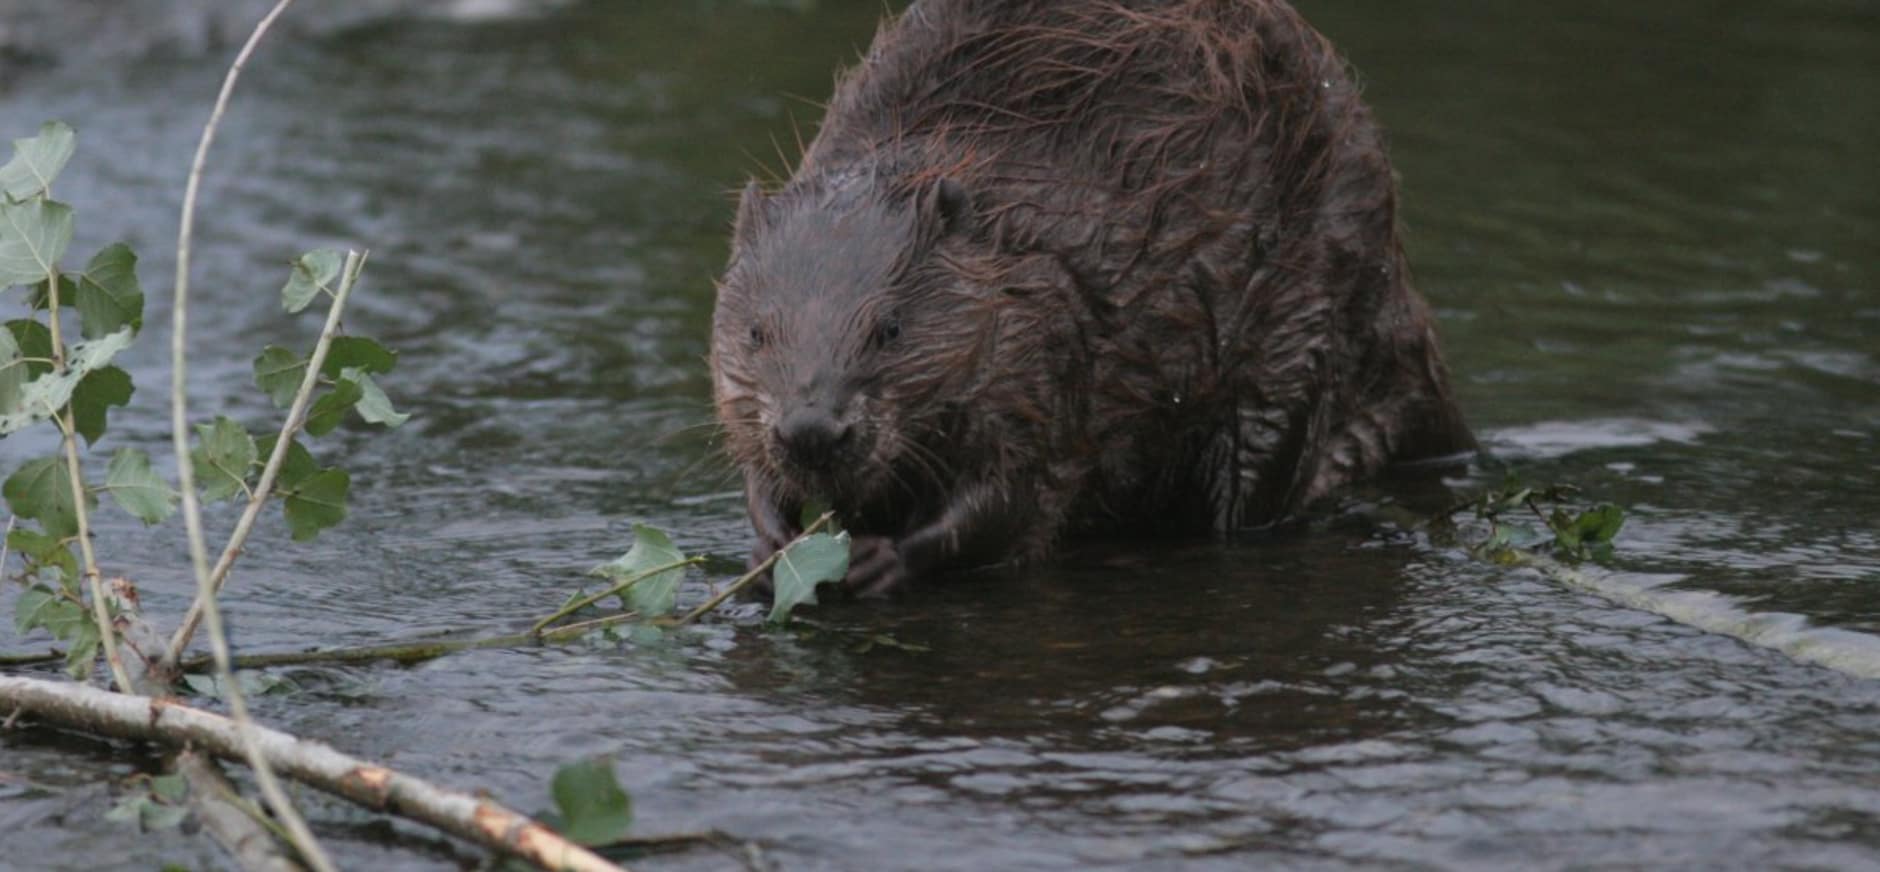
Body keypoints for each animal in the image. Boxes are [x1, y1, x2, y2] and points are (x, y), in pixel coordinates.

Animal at [710, 0, 1473, 593]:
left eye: (890, 329)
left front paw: (880, 559)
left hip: (1307, 317)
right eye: (756, 332)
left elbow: (1011, 499)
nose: (813, 430)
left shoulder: (1050, 346)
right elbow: (753, 464)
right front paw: (770, 544)